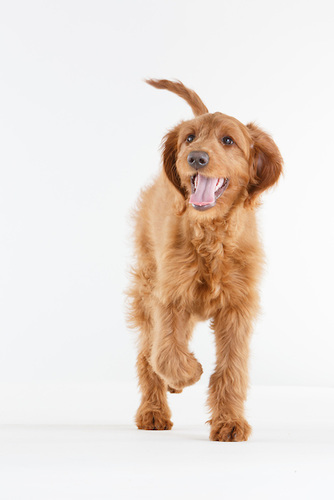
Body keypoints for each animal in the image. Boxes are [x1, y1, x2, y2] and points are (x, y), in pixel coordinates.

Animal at [126, 79, 284, 442]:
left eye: (228, 140)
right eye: (189, 138)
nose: (196, 157)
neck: (212, 236)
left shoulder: (237, 308)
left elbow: (231, 368)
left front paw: (230, 422)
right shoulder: (168, 297)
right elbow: (165, 354)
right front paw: (187, 373)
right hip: (146, 284)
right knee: (147, 353)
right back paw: (153, 411)